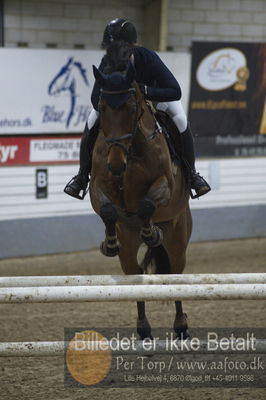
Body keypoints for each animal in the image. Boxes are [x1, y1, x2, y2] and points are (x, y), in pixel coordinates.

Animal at [89, 47, 191, 340]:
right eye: (102, 107)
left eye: (131, 108)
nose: (115, 165)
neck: (130, 152)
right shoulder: (97, 185)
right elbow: (108, 209)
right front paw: (109, 243)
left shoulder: (165, 184)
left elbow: (146, 205)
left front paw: (151, 233)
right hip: (129, 244)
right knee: (135, 275)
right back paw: (144, 328)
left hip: (178, 236)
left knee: (175, 275)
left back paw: (181, 326)